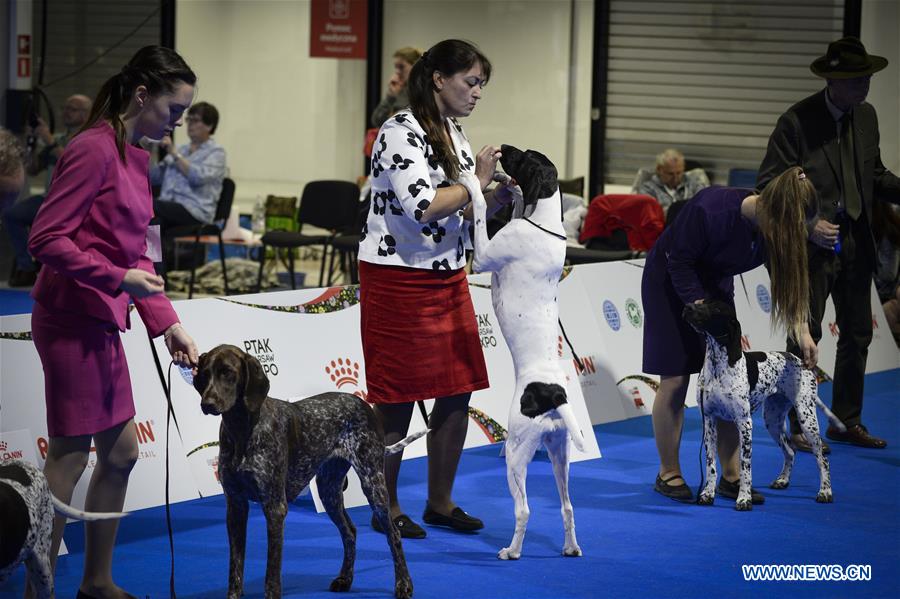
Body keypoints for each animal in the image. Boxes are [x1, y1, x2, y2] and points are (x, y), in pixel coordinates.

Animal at [193, 346, 422, 599]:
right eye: (204, 374)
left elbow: (271, 572)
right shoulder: (235, 506)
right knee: (350, 532)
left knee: (394, 536)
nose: (207, 403)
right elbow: (235, 567)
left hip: (374, 485)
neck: (242, 430)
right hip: (329, 491)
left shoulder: (274, 508)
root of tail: (362, 402)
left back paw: (404, 584)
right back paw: (345, 579)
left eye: (228, 373)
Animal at [460, 146, 588, 564]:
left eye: (528, 155)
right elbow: (514, 202)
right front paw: (505, 184)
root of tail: (555, 394)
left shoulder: (483, 255)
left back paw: (511, 551)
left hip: (516, 454)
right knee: (567, 507)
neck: (544, 224)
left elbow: (479, 208)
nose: (504, 148)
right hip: (559, 453)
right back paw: (570, 547)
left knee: (524, 510)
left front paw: (475, 180)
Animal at [684, 300, 848, 510]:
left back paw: (825, 492)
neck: (717, 366)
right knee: (790, 451)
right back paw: (783, 480)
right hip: (772, 420)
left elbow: (745, 467)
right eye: (699, 302)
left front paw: (744, 498)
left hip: (807, 419)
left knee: (822, 460)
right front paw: (707, 494)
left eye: (716, 308)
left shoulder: (744, 423)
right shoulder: (710, 421)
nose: (687, 307)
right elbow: (710, 465)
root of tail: (802, 362)